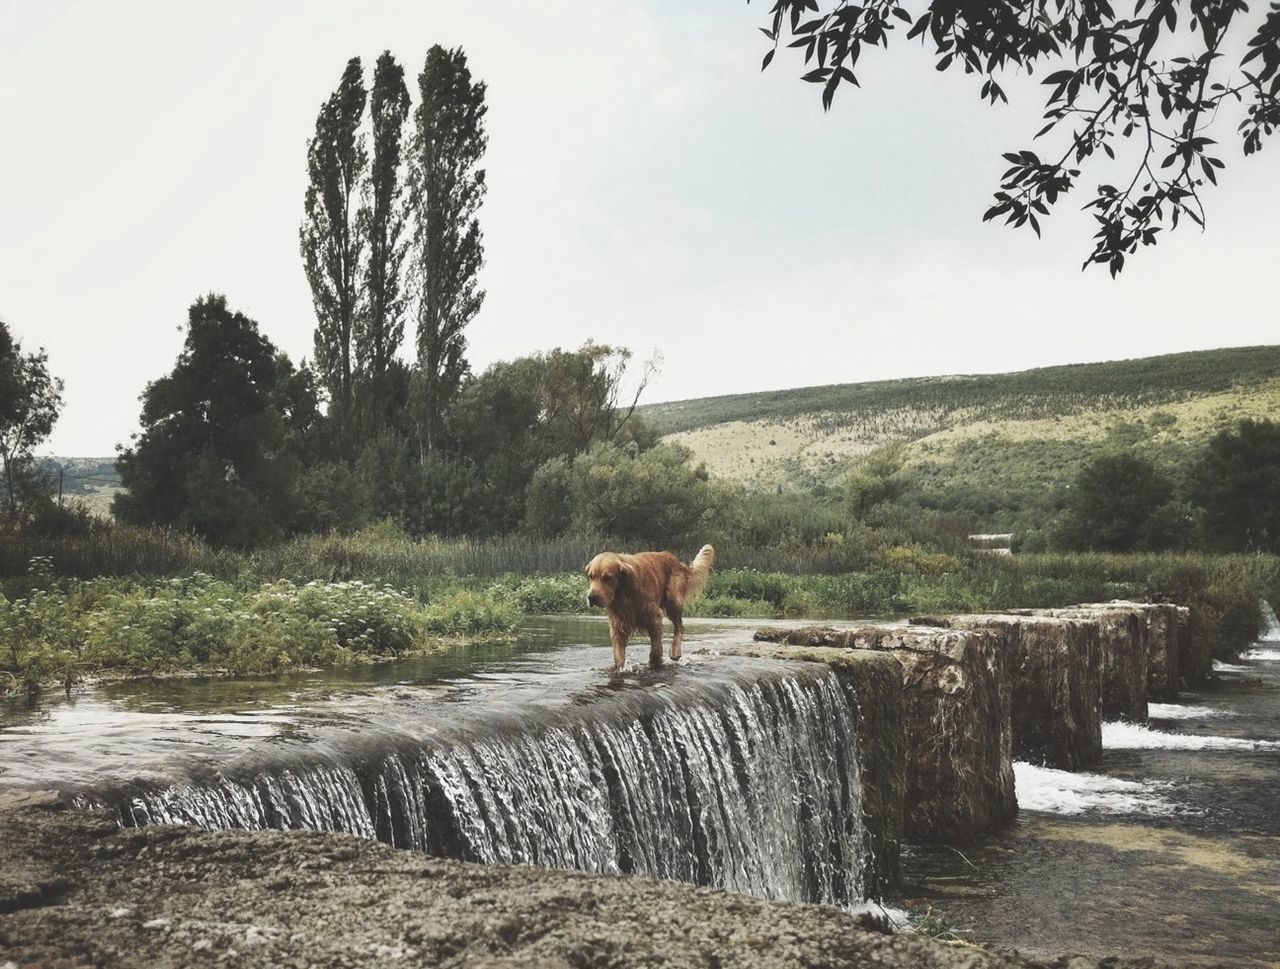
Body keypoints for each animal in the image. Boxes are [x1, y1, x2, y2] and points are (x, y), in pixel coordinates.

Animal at [586, 540, 716, 670]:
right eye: (591, 576)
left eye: (608, 578)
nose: (591, 597)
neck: (625, 594)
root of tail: (677, 561)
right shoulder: (618, 625)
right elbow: (619, 655)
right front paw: (621, 667)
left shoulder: (654, 617)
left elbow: (656, 649)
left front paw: (655, 662)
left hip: (673, 599)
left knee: (679, 626)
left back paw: (675, 650)